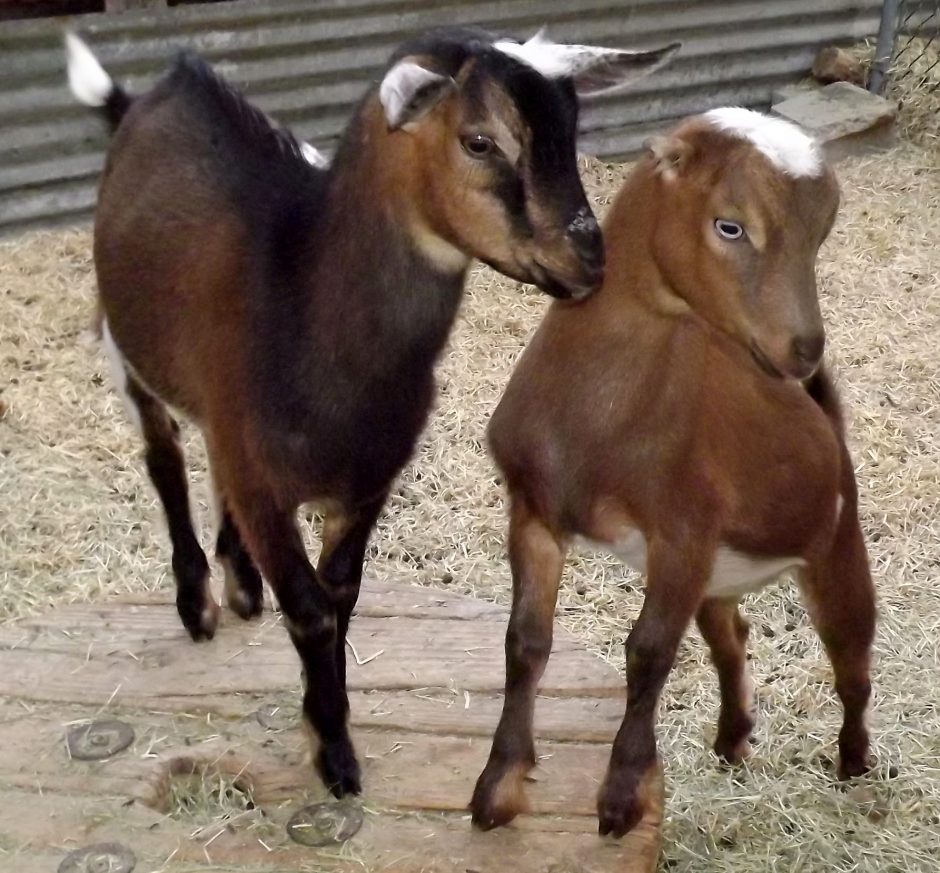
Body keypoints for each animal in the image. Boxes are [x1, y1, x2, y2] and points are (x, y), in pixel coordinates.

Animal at [64, 29, 678, 798]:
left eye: (570, 133)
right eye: (480, 141)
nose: (589, 258)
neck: (301, 303)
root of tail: (159, 91)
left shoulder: (367, 479)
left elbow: (343, 594)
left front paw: (327, 711)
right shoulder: (267, 486)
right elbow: (309, 609)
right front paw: (334, 753)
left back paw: (240, 582)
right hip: (125, 347)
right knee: (164, 455)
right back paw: (197, 599)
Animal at [471, 109, 876, 837]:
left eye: (822, 233)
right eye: (730, 225)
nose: (804, 348)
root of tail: (825, 424)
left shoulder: (683, 535)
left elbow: (649, 652)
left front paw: (622, 797)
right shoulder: (535, 513)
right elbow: (526, 641)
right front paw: (499, 787)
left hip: (836, 546)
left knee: (852, 659)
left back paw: (853, 761)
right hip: (720, 575)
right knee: (732, 639)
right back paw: (733, 739)